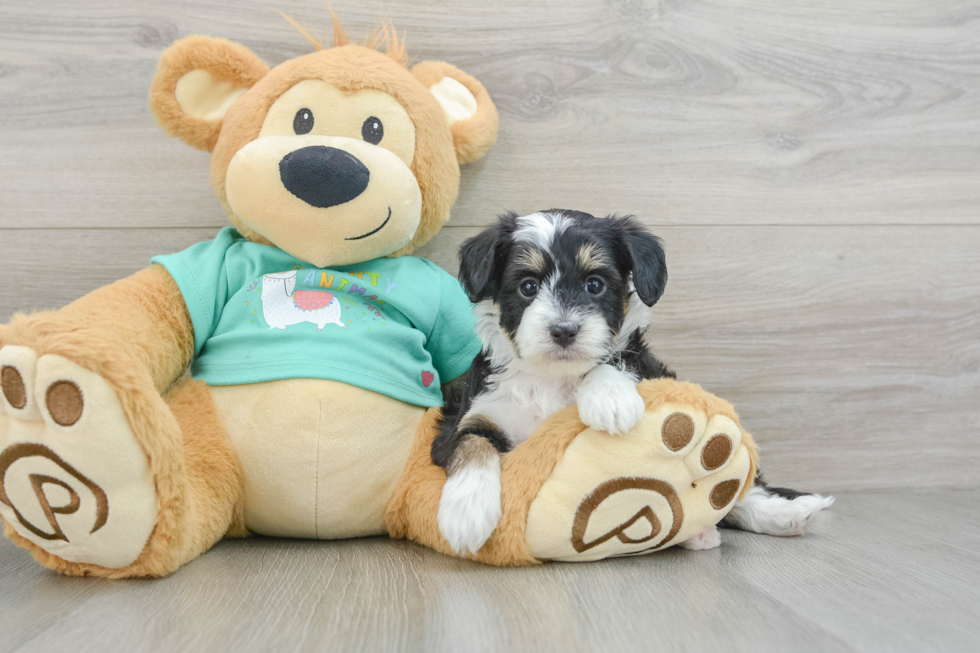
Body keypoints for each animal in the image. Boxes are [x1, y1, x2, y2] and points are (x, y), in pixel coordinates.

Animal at [432, 210, 832, 556]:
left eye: (595, 284)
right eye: (528, 287)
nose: (564, 330)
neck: (553, 378)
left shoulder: (647, 369)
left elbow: (614, 358)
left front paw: (610, 400)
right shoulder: (470, 417)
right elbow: (472, 444)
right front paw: (466, 512)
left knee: (739, 493)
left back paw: (787, 513)